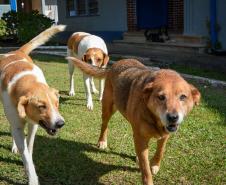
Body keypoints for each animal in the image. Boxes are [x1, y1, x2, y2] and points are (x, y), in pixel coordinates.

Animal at [0, 24, 65, 185]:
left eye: (57, 104)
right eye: (41, 106)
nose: (60, 124)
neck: (27, 80)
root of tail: (17, 51)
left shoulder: (34, 124)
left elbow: (28, 147)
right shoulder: (18, 124)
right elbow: (25, 153)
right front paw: (32, 177)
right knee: (12, 127)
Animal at [66, 57, 200, 184]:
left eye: (183, 97)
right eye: (161, 97)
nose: (173, 117)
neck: (155, 119)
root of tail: (115, 65)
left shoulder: (164, 136)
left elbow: (160, 151)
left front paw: (155, 165)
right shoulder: (141, 138)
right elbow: (145, 170)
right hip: (108, 109)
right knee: (104, 125)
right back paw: (102, 141)